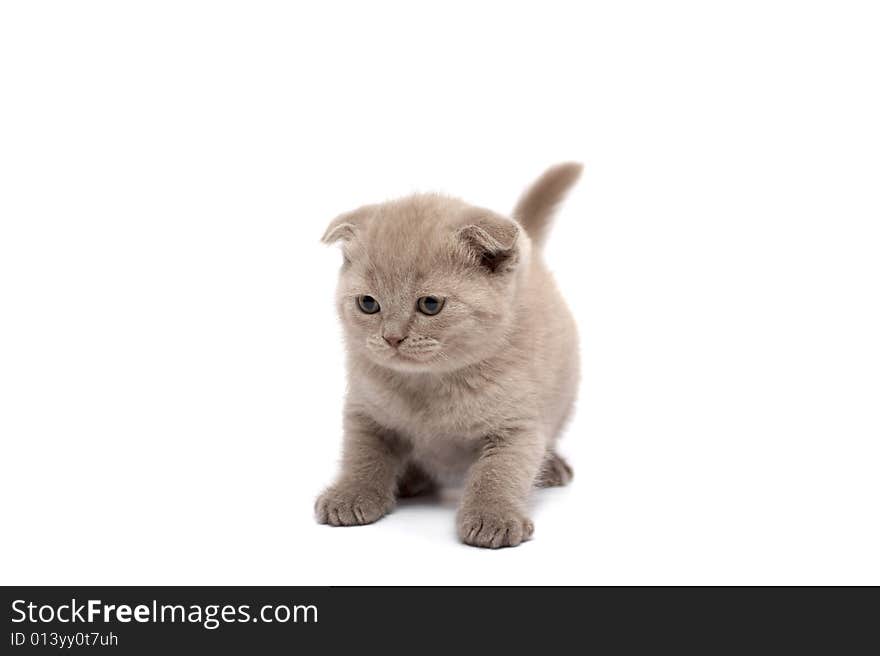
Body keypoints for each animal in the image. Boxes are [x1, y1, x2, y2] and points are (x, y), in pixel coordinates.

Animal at [316, 164, 584, 548]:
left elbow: (500, 471)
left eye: (430, 304)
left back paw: (553, 466)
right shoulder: (366, 409)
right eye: (368, 303)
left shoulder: (517, 424)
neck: (429, 385)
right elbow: (361, 454)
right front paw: (350, 494)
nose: (392, 337)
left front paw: (492, 517)